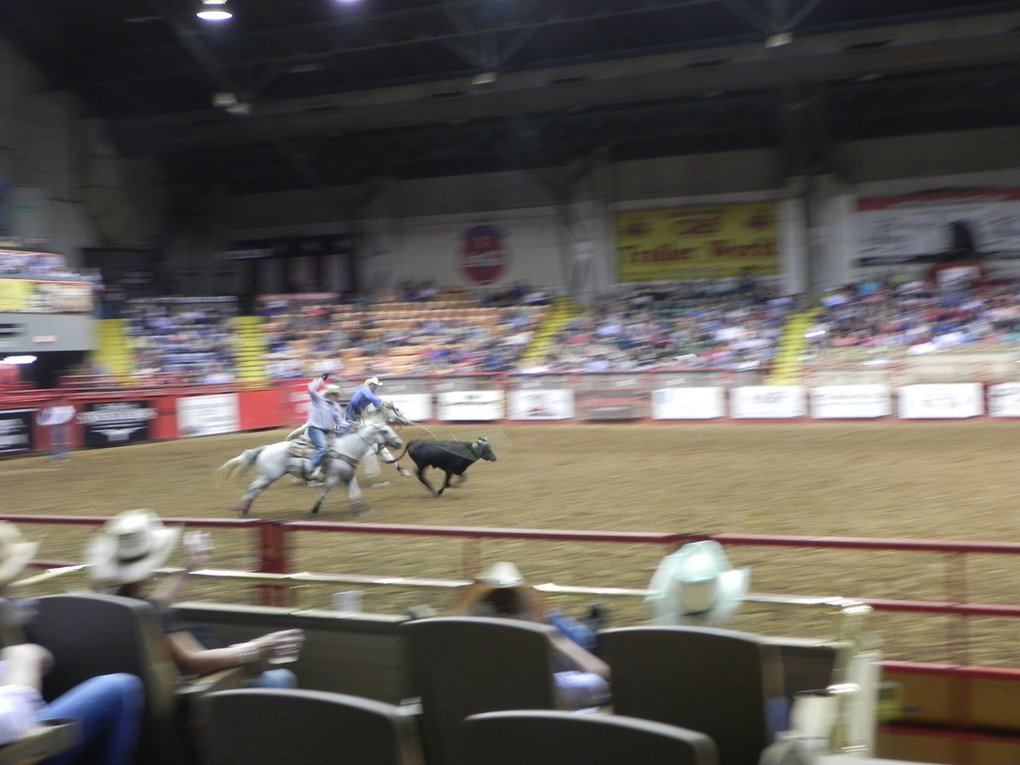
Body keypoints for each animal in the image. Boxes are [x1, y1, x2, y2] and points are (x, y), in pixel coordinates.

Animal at [216, 420, 401, 522]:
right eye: (385, 430)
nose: (399, 443)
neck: (346, 449)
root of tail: (265, 448)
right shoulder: (332, 478)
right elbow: (324, 494)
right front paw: (314, 510)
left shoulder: (348, 477)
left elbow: (355, 494)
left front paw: (363, 510)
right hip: (267, 476)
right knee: (251, 490)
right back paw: (242, 511)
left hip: (266, 478)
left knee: (254, 491)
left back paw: (245, 510)